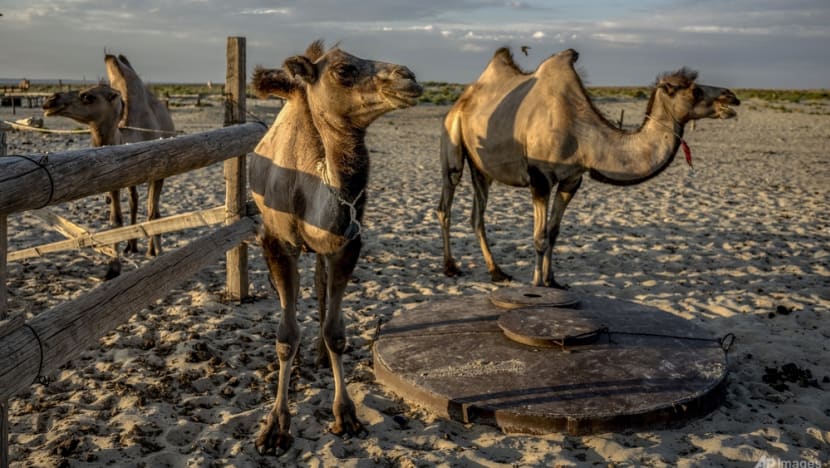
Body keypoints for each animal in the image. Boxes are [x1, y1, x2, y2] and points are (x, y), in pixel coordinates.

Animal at [42, 85, 128, 278]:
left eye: (88, 96)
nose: (50, 100)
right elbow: (114, 221)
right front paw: (112, 268)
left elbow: (117, 220)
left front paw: (114, 269)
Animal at [105, 53, 176, 256]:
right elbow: (132, 205)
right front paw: (130, 245)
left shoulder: (159, 171)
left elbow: (152, 212)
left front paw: (154, 251)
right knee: (135, 202)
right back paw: (132, 246)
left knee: (153, 209)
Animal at [244, 42, 420, 456]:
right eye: (343, 69)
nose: (408, 77)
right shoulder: (278, 243)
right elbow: (285, 336)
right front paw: (275, 427)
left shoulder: (346, 244)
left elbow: (336, 331)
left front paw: (346, 415)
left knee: (320, 287)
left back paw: (320, 355)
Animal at [438, 48, 744, 288]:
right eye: (695, 90)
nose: (732, 97)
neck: (581, 133)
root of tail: (463, 98)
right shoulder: (540, 178)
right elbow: (539, 237)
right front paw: (536, 285)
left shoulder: (572, 179)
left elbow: (553, 233)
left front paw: (552, 281)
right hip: (453, 137)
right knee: (447, 200)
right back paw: (451, 267)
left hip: (483, 169)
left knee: (477, 215)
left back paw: (497, 272)